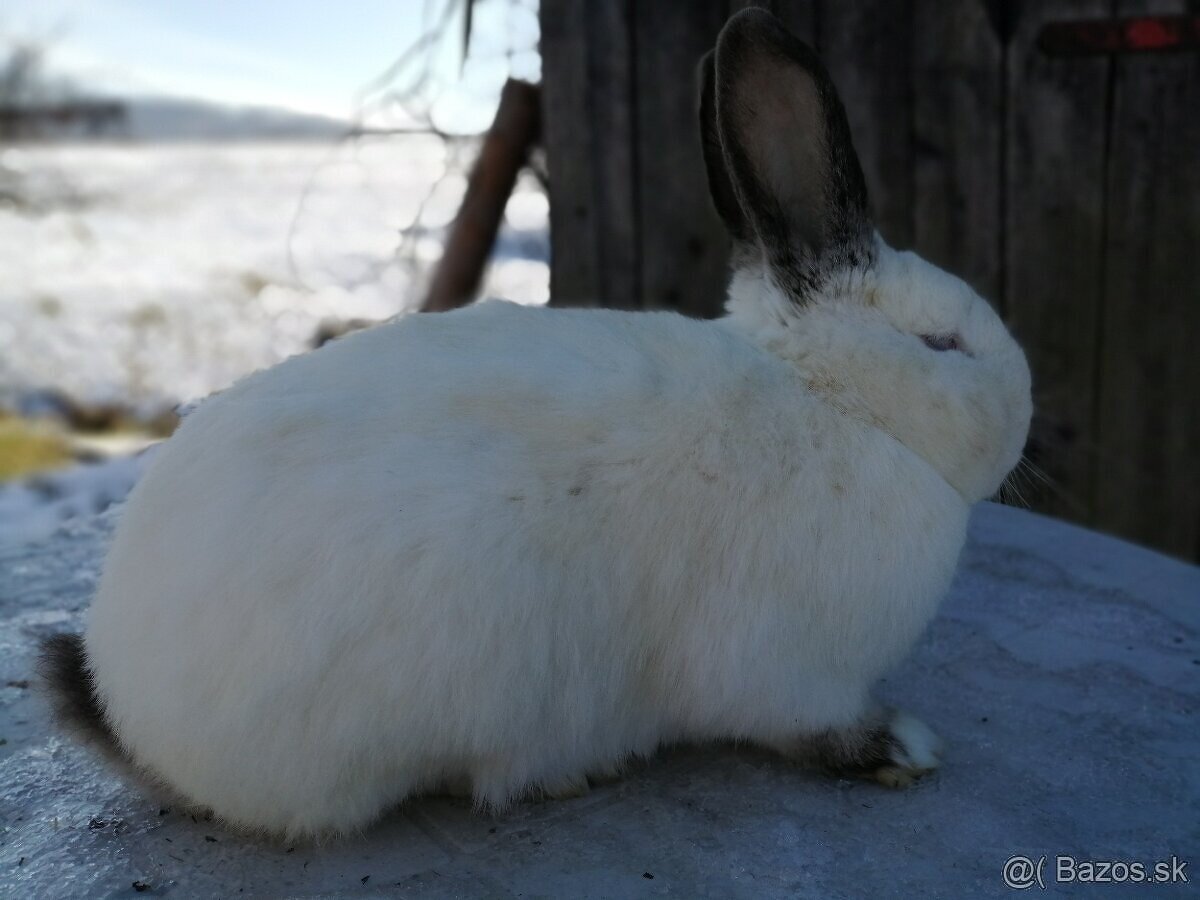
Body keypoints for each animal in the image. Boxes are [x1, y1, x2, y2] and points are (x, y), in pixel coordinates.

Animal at [37, 5, 1032, 840]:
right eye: (943, 343)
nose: (1025, 411)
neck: (836, 402)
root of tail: (132, 710)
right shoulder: (793, 672)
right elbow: (812, 727)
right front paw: (901, 747)